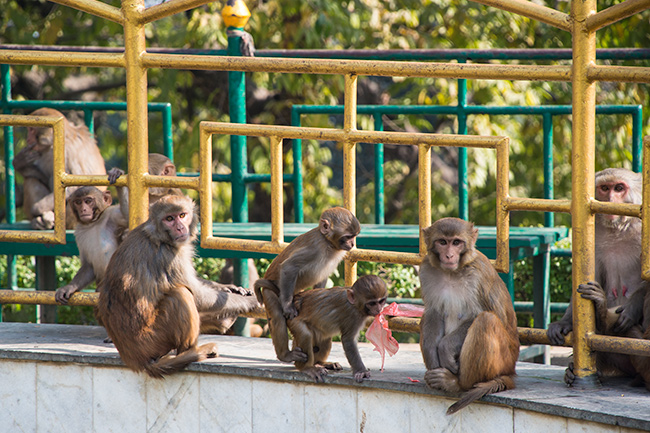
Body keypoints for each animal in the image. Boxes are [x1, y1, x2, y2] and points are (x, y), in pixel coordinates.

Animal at [96, 194, 258, 376]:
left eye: (182, 215)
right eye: (169, 219)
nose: (180, 228)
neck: (159, 236)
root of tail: (135, 359)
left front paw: (228, 288)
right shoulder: (169, 256)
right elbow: (197, 295)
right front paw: (252, 301)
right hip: (153, 339)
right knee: (180, 295)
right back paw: (190, 351)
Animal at [253, 206, 360, 362]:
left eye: (354, 236)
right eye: (347, 236)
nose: (352, 244)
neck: (328, 243)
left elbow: (321, 279)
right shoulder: (315, 248)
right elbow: (289, 267)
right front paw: (287, 306)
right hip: (269, 292)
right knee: (277, 316)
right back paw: (285, 355)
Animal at [418, 218, 520, 414]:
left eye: (457, 242)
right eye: (443, 242)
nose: (449, 255)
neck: (452, 272)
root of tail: (511, 370)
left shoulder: (478, 274)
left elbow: (488, 314)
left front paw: (445, 348)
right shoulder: (426, 270)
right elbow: (433, 312)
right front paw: (433, 356)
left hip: (504, 359)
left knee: (486, 320)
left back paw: (457, 384)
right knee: (426, 315)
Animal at [544, 167, 644, 350]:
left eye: (619, 188)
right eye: (604, 188)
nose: (610, 200)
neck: (617, 229)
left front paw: (632, 308)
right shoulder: (593, 237)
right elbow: (589, 276)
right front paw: (565, 322)